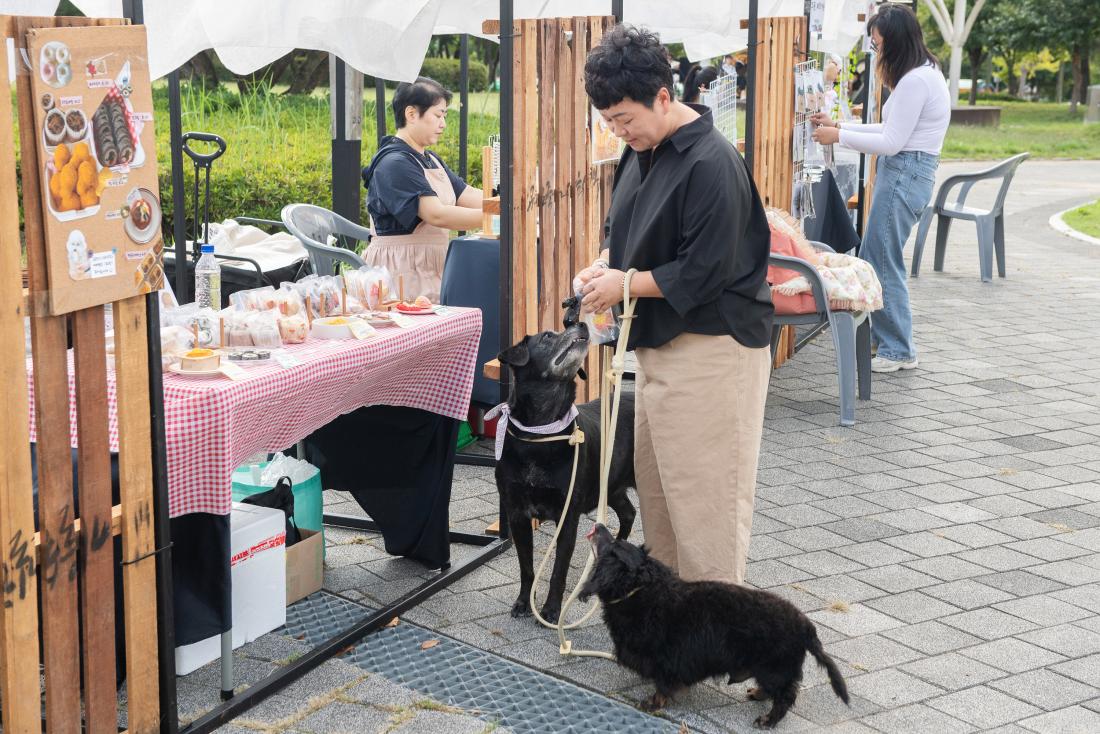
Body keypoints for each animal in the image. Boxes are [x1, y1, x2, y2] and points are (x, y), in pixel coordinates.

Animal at [492, 301, 638, 625]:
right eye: (547, 336)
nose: (581, 324)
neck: (541, 432)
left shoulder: (567, 517)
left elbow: (558, 570)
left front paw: (550, 610)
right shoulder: (517, 514)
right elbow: (526, 567)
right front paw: (524, 602)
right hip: (611, 486)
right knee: (628, 513)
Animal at [580, 526, 844, 726]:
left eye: (611, 546)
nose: (599, 526)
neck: (640, 590)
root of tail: (805, 625)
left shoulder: (665, 662)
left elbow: (663, 687)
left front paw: (652, 703)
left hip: (773, 669)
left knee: (786, 695)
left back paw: (768, 720)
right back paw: (758, 694)